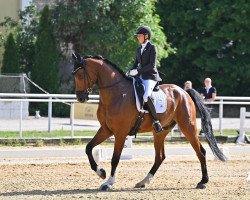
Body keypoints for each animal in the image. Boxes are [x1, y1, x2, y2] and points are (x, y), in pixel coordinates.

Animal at [71, 52, 226, 191]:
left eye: (80, 75)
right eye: (74, 75)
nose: (81, 98)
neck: (116, 94)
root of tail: (184, 92)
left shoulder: (120, 132)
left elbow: (115, 158)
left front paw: (108, 182)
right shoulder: (106, 129)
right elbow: (88, 148)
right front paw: (101, 173)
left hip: (188, 127)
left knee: (201, 152)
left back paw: (203, 182)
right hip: (160, 132)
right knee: (160, 157)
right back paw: (143, 181)